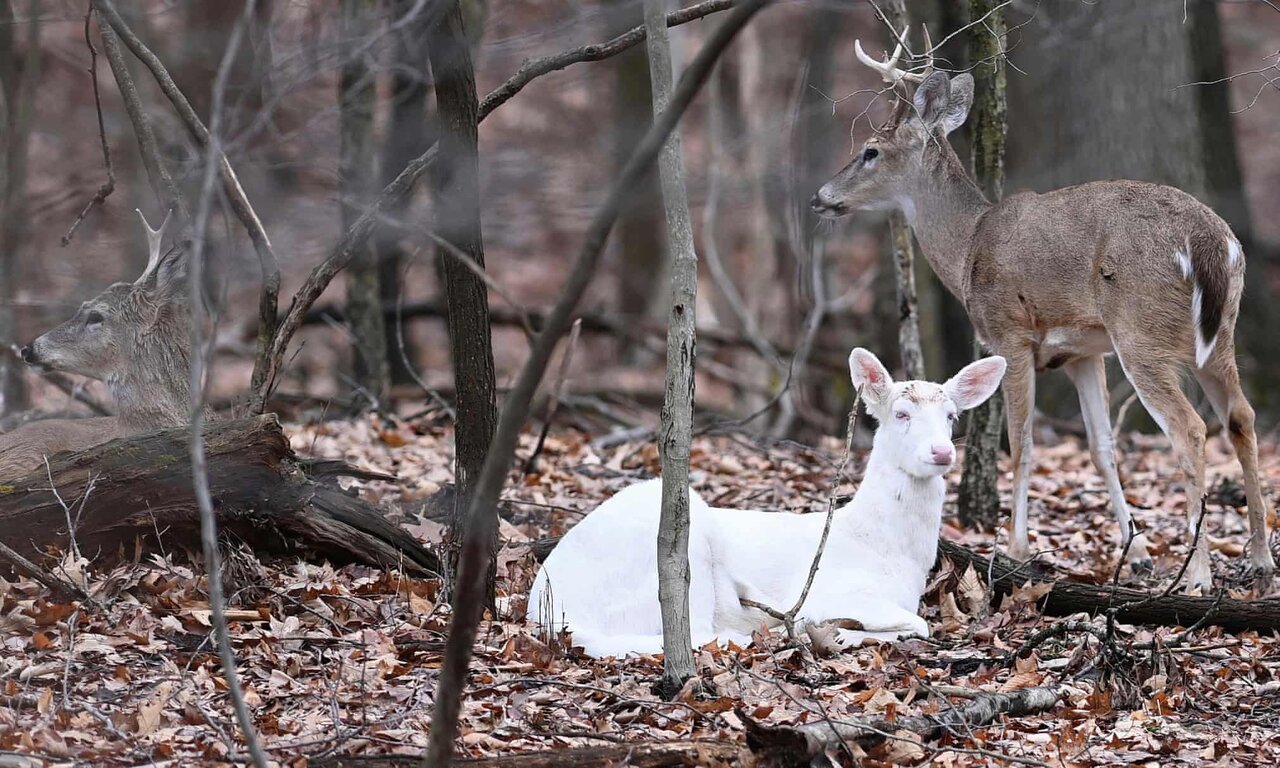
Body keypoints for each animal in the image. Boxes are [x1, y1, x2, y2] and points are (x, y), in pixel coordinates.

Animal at [524, 350, 1003, 655]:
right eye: (901, 414)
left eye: (951, 416)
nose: (942, 452)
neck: (887, 551)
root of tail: (546, 611)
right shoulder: (829, 591)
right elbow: (919, 624)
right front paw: (839, 635)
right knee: (693, 632)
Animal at [814, 31, 1274, 593]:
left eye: (870, 151)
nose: (820, 197)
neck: (968, 248)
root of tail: (1210, 241)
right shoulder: (1081, 352)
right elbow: (1101, 447)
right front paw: (1137, 552)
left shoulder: (1011, 334)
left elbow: (1024, 443)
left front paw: (1016, 548)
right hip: (1218, 333)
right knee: (1241, 417)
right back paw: (1260, 559)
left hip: (1141, 332)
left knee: (1190, 429)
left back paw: (1199, 575)